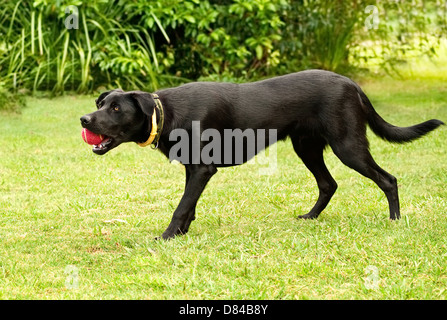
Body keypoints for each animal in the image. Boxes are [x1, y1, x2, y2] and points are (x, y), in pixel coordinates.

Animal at [81, 70, 444, 240]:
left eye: (116, 108)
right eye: (101, 104)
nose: (84, 120)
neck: (164, 112)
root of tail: (351, 83)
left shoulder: (202, 169)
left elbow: (181, 206)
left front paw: (168, 236)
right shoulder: (193, 170)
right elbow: (189, 205)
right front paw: (182, 233)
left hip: (348, 146)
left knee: (388, 179)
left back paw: (394, 220)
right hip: (306, 147)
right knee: (329, 184)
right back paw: (310, 217)